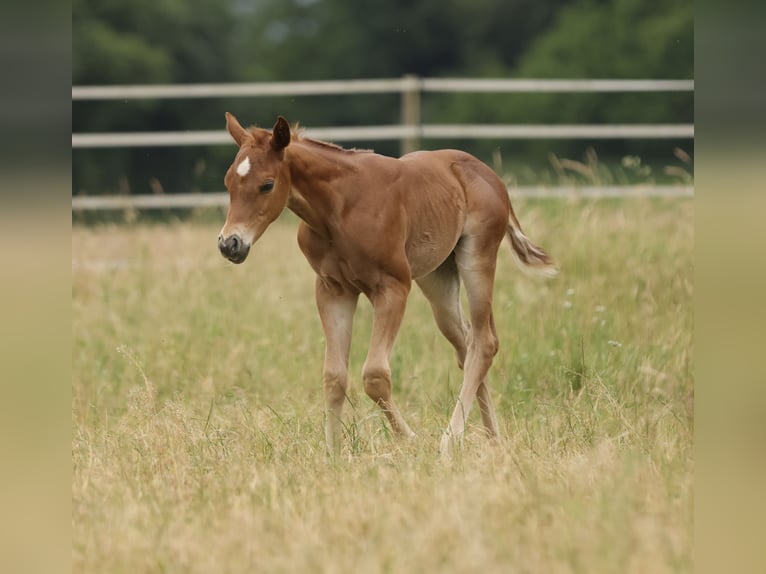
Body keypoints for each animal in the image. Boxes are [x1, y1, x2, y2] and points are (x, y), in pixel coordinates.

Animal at [218, 113, 557, 455]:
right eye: (228, 182)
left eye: (267, 184)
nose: (229, 244)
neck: (338, 208)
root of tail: (491, 176)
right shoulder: (333, 290)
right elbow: (334, 377)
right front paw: (333, 454)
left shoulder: (393, 287)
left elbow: (375, 376)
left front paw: (412, 441)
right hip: (438, 277)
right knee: (467, 344)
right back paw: (492, 439)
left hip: (477, 258)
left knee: (484, 342)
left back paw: (450, 441)